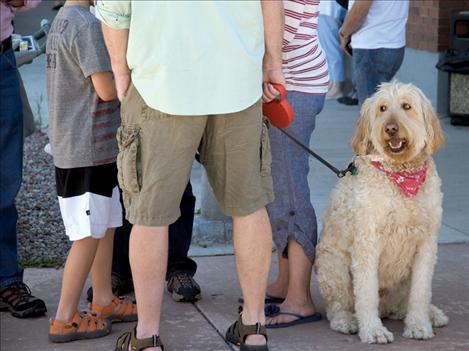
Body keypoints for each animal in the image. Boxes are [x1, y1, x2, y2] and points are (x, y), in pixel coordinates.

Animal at [316, 82, 448, 344]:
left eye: (406, 106)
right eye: (382, 108)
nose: (391, 128)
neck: (401, 175)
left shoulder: (426, 243)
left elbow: (420, 292)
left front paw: (419, 325)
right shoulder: (368, 242)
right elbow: (366, 294)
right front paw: (373, 331)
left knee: (404, 304)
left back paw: (431, 313)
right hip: (332, 267)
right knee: (338, 306)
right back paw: (347, 320)